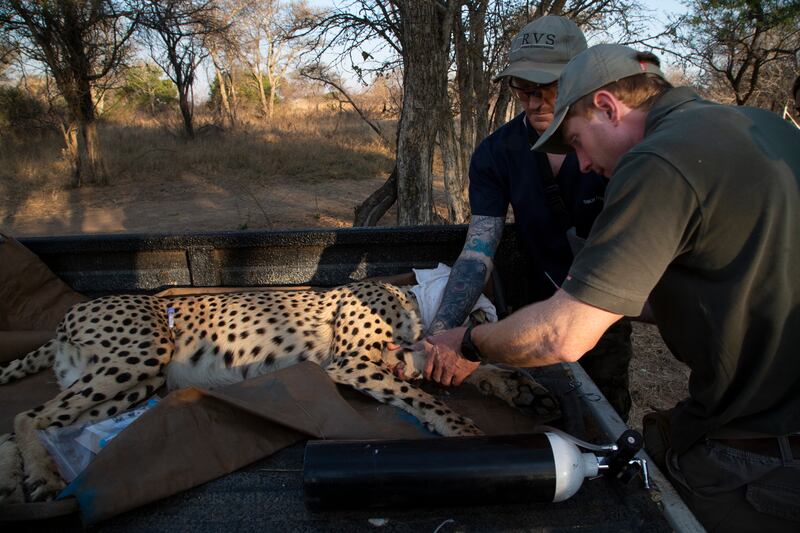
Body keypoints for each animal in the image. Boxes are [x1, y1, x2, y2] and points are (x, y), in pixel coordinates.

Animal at [0, 280, 560, 500]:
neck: (415, 304)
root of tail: (69, 316)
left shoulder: (400, 357)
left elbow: (459, 373)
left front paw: (522, 390)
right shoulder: (352, 362)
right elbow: (423, 396)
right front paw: (463, 429)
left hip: (132, 383)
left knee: (22, 423)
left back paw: (17, 479)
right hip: (143, 354)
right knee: (25, 415)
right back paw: (44, 477)